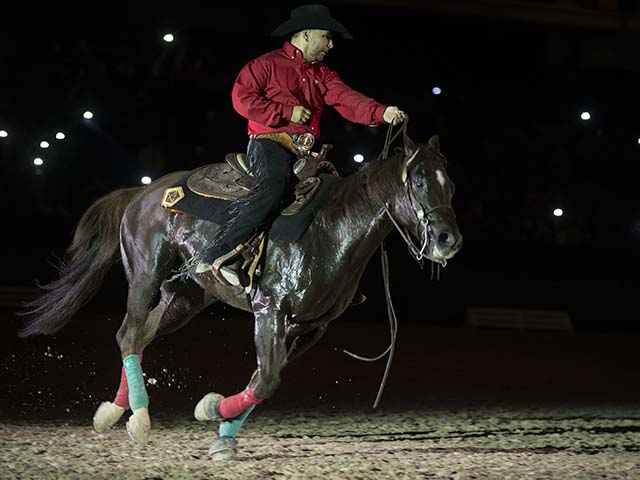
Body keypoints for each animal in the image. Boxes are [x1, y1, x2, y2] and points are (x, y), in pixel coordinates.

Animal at [19, 131, 462, 459]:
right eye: (418, 181)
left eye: (451, 184)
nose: (448, 240)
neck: (332, 227)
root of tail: (140, 193)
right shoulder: (270, 310)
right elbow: (266, 381)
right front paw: (209, 409)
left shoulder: (308, 328)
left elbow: (261, 379)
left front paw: (224, 435)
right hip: (145, 274)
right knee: (128, 334)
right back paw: (139, 419)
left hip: (184, 299)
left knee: (141, 336)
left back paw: (113, 412)